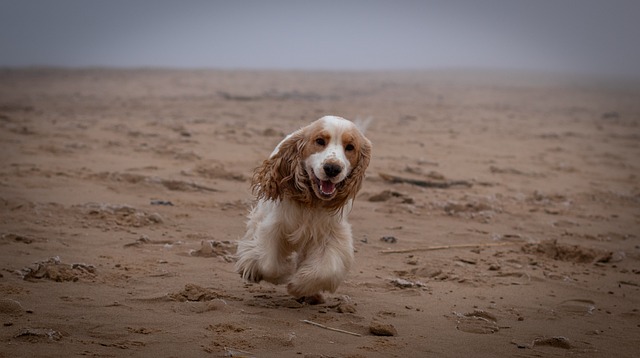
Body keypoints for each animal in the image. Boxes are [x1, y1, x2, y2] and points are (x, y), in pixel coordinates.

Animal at [236, 116, 372, 304]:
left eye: (350, 147)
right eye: (320, 141)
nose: (332, 168)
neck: (313, 201)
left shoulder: (331, 234)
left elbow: (325, 271)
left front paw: (299, 286)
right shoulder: (274, 226)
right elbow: (268, 264)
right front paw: (284, 273)